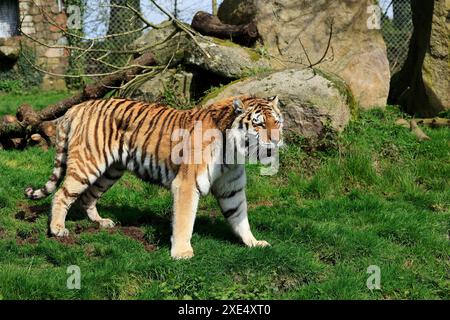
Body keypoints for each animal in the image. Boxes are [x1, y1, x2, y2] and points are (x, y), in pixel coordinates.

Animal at [24, 94, 284, 258]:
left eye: (278, 122)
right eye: (260, 125)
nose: (277, 140)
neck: (234, 151)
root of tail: (76, 107)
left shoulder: (232, 188)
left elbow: (240, 217)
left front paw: (253, 242)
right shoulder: (186, 184)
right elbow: (184, 221)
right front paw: (182, 253)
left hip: (111, 170)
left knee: (88, 197)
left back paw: (101, 222)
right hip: (88, 164)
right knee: (61, 194)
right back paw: (57, 229)